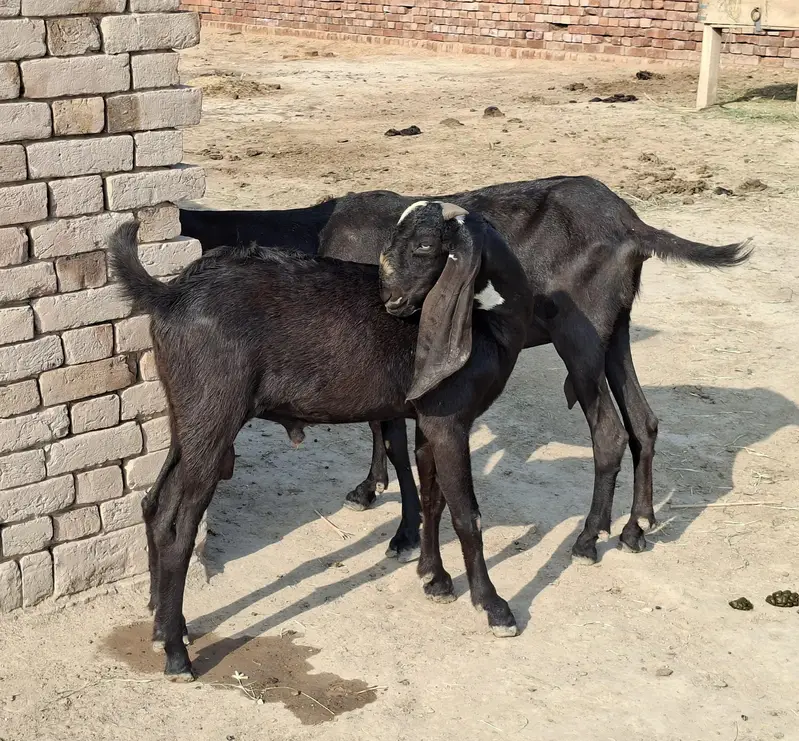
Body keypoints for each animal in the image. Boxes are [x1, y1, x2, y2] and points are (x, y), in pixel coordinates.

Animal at [111, 202, 533, 680]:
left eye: (425, 245)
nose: (389, 300)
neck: (485, 315)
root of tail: (170, 296)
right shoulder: (451, 421)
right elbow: (467, 515)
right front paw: (495, 607)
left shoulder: (432, 418)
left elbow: (433, 498)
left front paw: (434, 577)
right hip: (214, 415)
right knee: (178, 528)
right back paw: (176, 655)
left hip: (189, 415)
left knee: (156, 506)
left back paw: (166, 624)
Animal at [180, 175, 751, 564]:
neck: (316, 232)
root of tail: (631, 224)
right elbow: (379, 428)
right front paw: (370, 487)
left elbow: (393, 438)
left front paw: (403, 532)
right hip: (618, 329)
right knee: (644, 421)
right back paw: (637, 527)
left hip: (581, 333)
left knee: (609, 432)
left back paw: (590, 539)